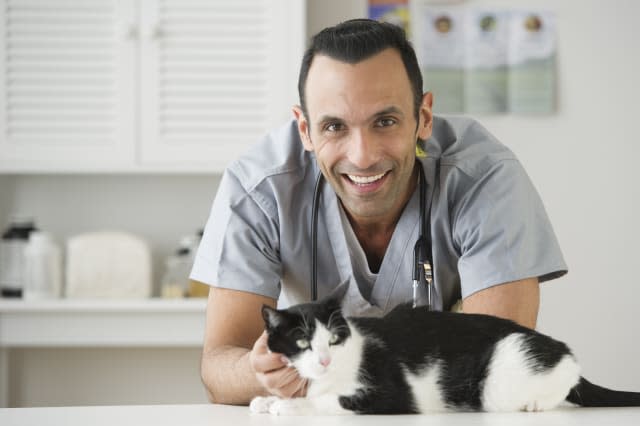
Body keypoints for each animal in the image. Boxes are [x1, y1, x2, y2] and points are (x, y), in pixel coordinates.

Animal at [250, 282, 640, 416]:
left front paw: (289, 406)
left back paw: (536, 403)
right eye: (302, 342)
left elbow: (329, 400)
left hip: (502, 378)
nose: (325, 360)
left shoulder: (392, 393)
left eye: (333, 338)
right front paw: (267, 399)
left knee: (564, 377)